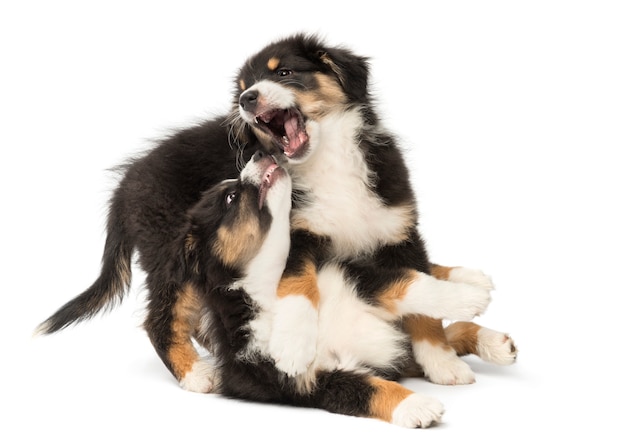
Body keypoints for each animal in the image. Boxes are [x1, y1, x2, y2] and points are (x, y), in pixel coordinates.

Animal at [35, 35, 512, 396]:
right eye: (244, 85)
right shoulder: (295, 235)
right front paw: (293, 345)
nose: (247, 99)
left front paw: (439, 359)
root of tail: (125, 184)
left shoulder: (397, 228)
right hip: (174, 253)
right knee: (162, 319)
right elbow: (300, 288)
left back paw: (468, 277)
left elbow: (419, 292)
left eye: (283, 72)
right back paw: (197, 374)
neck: (330, 161)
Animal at [178, 151, 494, 428]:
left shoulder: (354, 278)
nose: (259, 154)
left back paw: (483, 309)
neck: (273, 285)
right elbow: (367, 389)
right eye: (231, 198)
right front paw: (417, 406)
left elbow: (411, 285)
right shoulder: (307, 381)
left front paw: (469, 298)